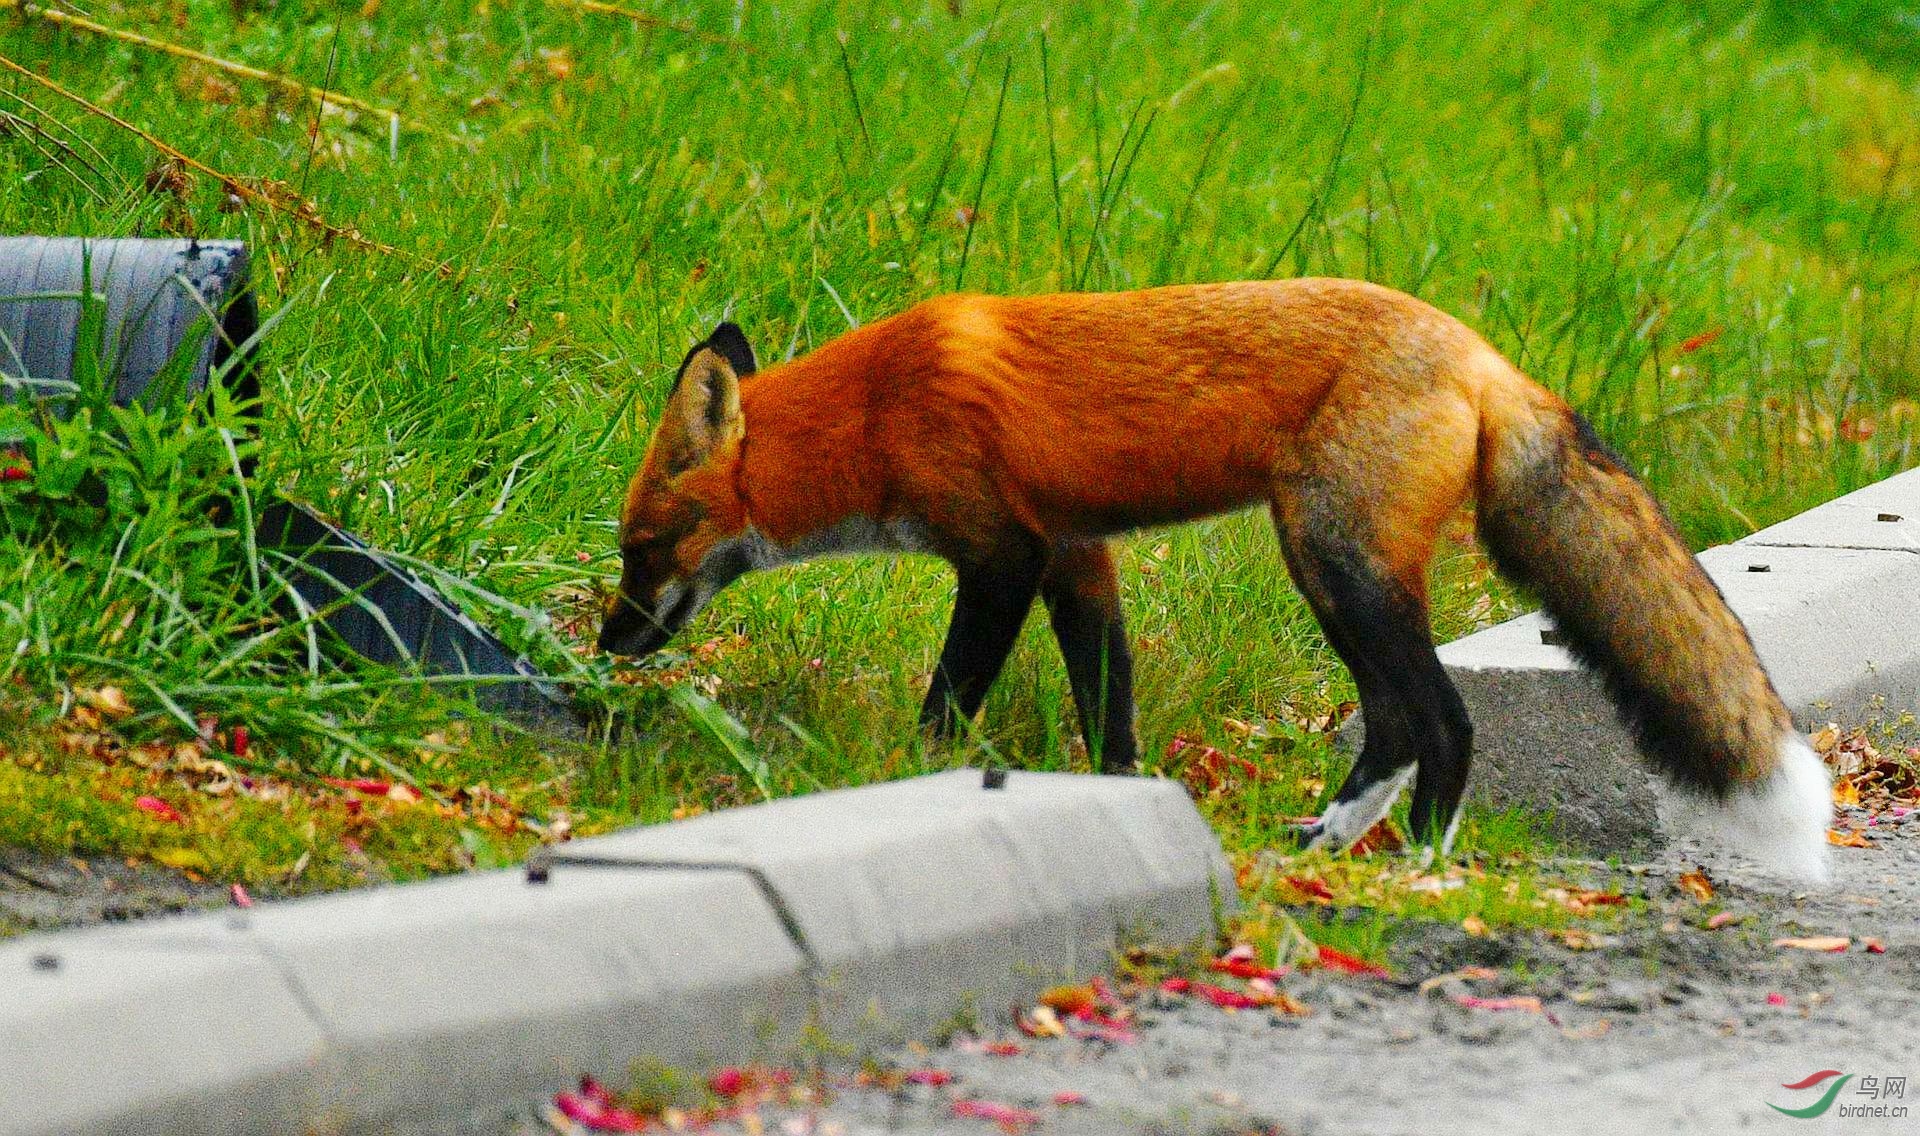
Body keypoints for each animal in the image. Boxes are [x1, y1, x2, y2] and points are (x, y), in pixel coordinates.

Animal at [599, 280, 1827, 882]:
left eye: (638, 547)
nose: (609, 643)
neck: (872, 410)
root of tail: (1481, 354)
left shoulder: (1002, 558)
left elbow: (949, 699)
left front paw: (910, 776)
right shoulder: (1075, 553)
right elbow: (1111, 708)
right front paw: (1119, 801)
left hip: (1334, 562)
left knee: (1441, 718)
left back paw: (1422, 857)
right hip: (1333, 572)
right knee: (1393, 722)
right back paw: (1328, 839)